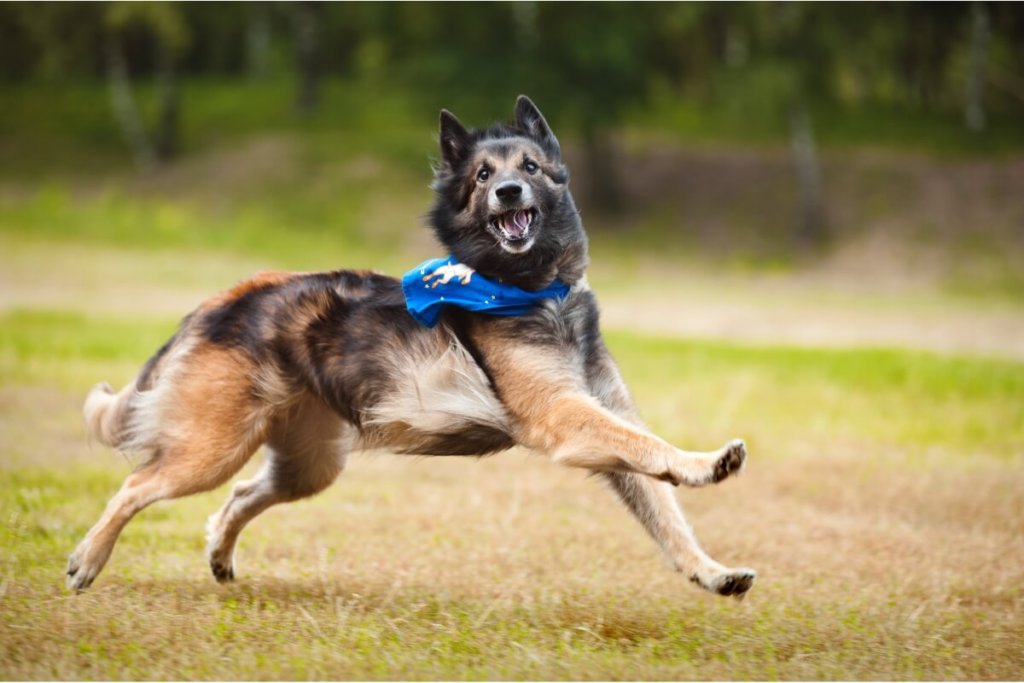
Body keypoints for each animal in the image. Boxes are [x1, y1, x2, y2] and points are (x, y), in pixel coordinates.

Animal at [68, 96, 757, 598]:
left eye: (530, 168)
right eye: (484, 175)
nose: (509, 193)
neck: (534, 291)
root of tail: (224, 301)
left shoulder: (603, 420)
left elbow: (663, 509)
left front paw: (712, 571)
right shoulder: (566, 417)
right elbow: (651, 449)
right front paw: (705, 463)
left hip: (309, 463)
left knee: (237, 497)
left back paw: (217, 555)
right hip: (210, 449)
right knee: (134, 486)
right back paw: (86, 561)